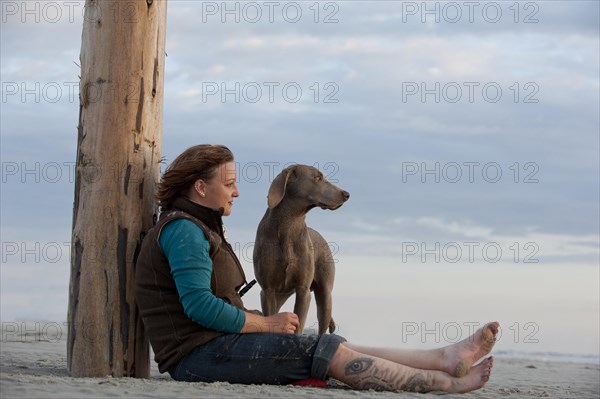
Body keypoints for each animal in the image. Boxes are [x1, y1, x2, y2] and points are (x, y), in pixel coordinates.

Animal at [251, 163, 350, 334]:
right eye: (317, 178)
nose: (346, 194)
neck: (289, 225)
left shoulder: (303, 290)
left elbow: (299, 323)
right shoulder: (268, 290)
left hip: (325, 295)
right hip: (278, 296)